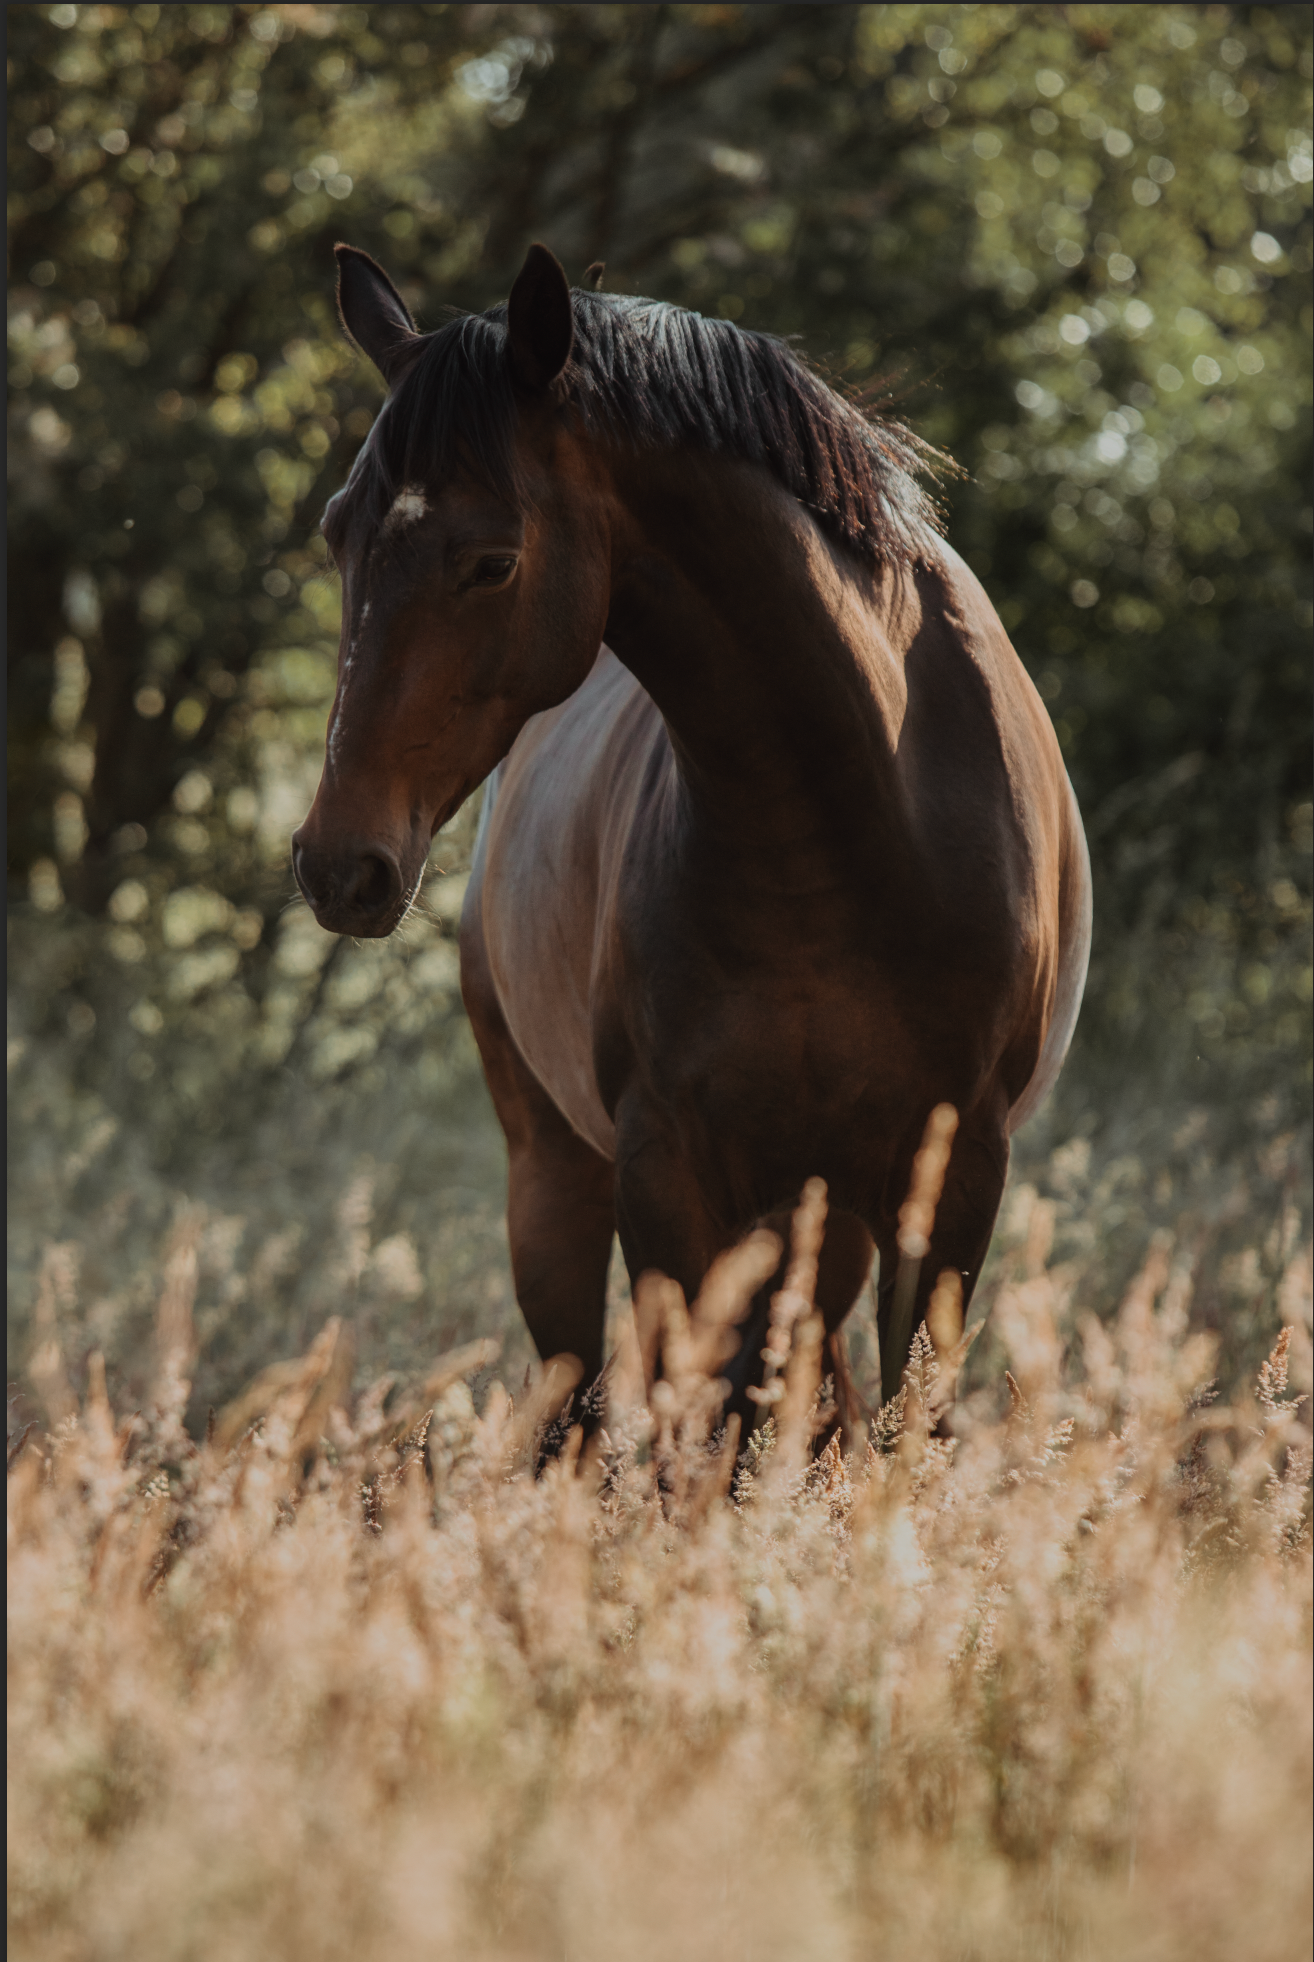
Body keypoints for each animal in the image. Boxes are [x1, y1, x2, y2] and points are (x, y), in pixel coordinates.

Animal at [293, 241, 1092, 1437]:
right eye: (339, 532)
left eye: (491, 561)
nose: (338, 865)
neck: (854, 822)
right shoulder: (664, 1173)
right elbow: (695, 1429)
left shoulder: (951, 1181)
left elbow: (905, 1428)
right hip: (558, 1180)